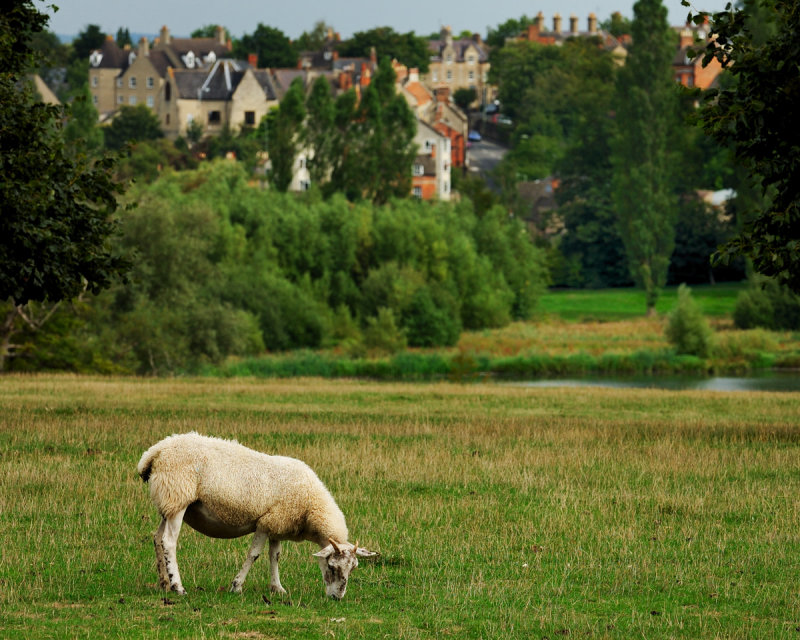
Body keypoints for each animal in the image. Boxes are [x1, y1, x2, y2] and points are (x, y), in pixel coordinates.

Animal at [136, 432, 376, 596]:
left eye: (353, 568)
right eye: (332, 567)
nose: (337, 597)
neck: (311, 506)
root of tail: (156, 450)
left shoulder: (277, 524)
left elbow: (275, 555)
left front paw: (277, 588)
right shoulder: (265, 523)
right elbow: (254, 554)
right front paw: (236, 586)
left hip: (168, 502)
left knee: (157, 538)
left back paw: (164, 583)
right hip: (178, 497)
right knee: (169, 541)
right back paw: (178, 586)